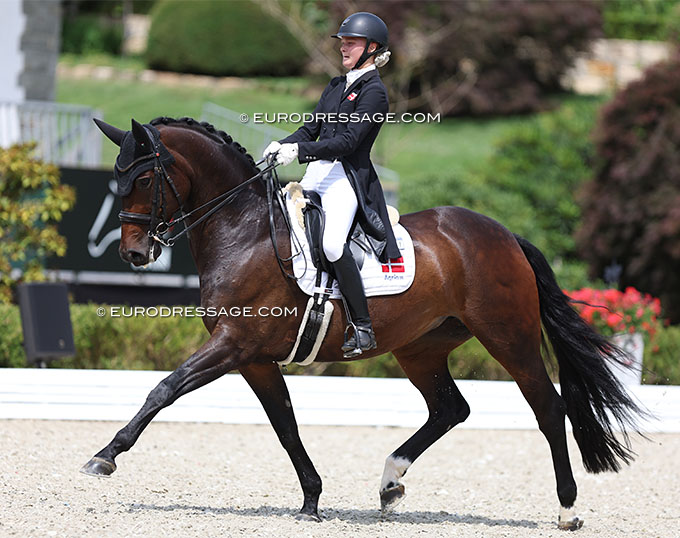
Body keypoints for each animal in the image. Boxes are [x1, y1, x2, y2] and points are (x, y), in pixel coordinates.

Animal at [81, 116, 644, 528]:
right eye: (117, 177)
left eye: (145, 178)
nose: (134, 253)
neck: (244, 231)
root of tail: (504, 234)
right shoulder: (254, 358)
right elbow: (285, 424)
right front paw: (311, 501)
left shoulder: (234, 345)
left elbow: (164, 388)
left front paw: (105, 457)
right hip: (420, 347)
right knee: (450, 408)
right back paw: (390, 484)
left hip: (509, 337)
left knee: (548, 408)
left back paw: (567, 509)